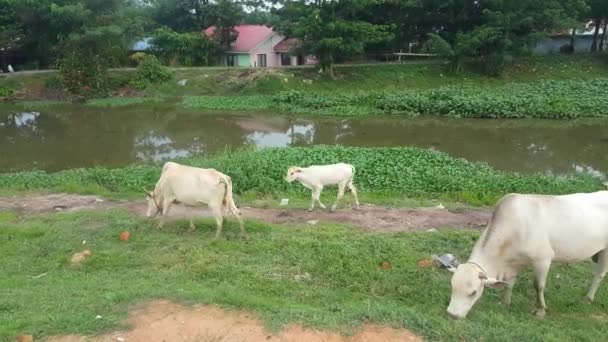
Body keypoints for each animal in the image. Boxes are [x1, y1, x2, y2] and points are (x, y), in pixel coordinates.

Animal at [446, 191, 608, 320]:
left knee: (599, 275)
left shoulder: (543, 259)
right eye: (452, 287)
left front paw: (541, 310)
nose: (452, 315)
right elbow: (509, 284)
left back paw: (588, 298)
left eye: (473, 293)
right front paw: (505, 303)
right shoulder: (513, 263)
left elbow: (538, 286)